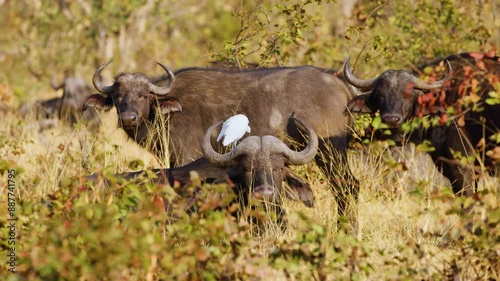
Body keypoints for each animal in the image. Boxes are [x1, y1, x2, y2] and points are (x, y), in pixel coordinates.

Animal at [85, 61, 360, 225]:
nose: (128, 118)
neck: (165, 112)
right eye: (118, 96)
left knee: (348, 187)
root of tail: (337, 81)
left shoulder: (186, 158)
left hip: (331, 153)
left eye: (143, 95)